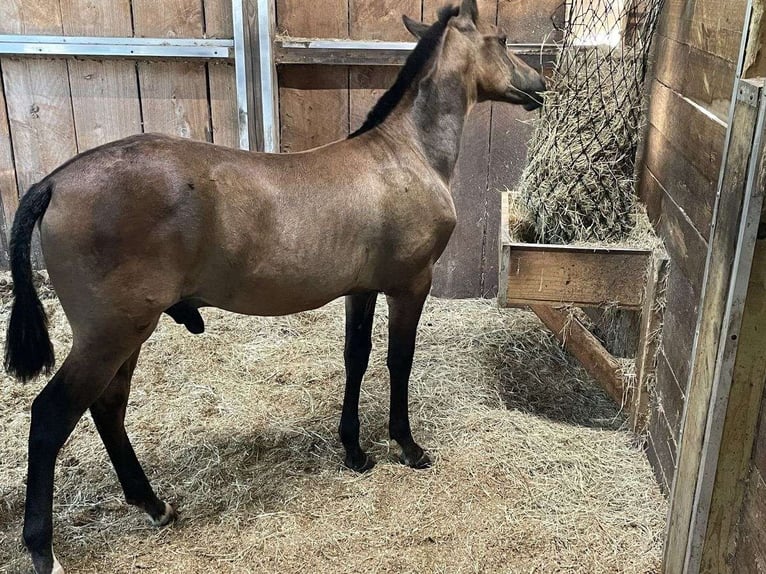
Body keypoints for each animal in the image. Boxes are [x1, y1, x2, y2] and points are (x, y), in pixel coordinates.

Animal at [4, 2, 544, 572]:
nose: (540, 84)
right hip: (110, 336)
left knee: (108, 408)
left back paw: (154, 505)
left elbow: (356, 357)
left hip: (125, 335)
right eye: (502, 39)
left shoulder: (361, 289)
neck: (405, 155)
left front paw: (355, 452)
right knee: (50, 418)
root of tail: (55, 181)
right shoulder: (410, 284)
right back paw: (44, 550)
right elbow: (399, 361)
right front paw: (408, 446)